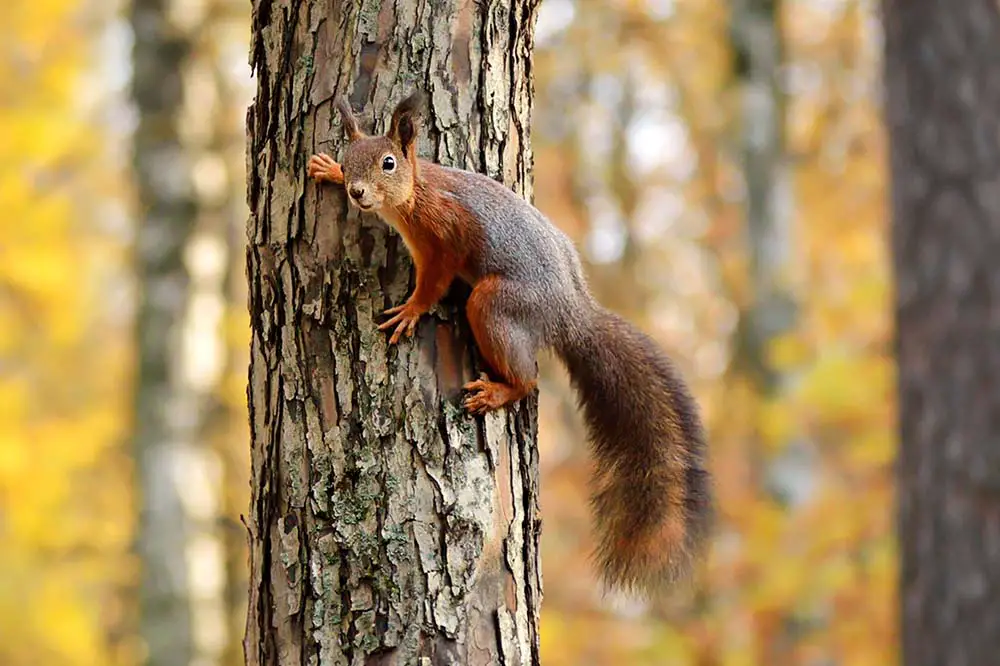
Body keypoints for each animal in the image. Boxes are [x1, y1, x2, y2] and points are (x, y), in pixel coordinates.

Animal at [308, 91, 708, 592]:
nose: (356, 192)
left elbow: (433, 283)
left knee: (529, 379)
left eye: (388, 163)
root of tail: (570, 314)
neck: (417, 192)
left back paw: (498, 391)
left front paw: (411, 310)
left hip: (495, 304)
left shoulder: (445, 238)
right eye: (349, 160)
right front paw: (325, 169)